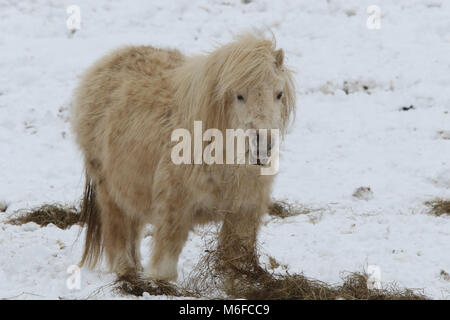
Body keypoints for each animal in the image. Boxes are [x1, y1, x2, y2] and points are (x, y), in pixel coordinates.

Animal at [71, 33, 296, 282]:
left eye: (279, 94)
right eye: (240, 95)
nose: (263, 145)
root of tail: (104, 64)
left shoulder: (243, 213)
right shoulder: (174, 209)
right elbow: (164, 268)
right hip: (108, 188)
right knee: (118, 231)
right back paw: (126, 271)